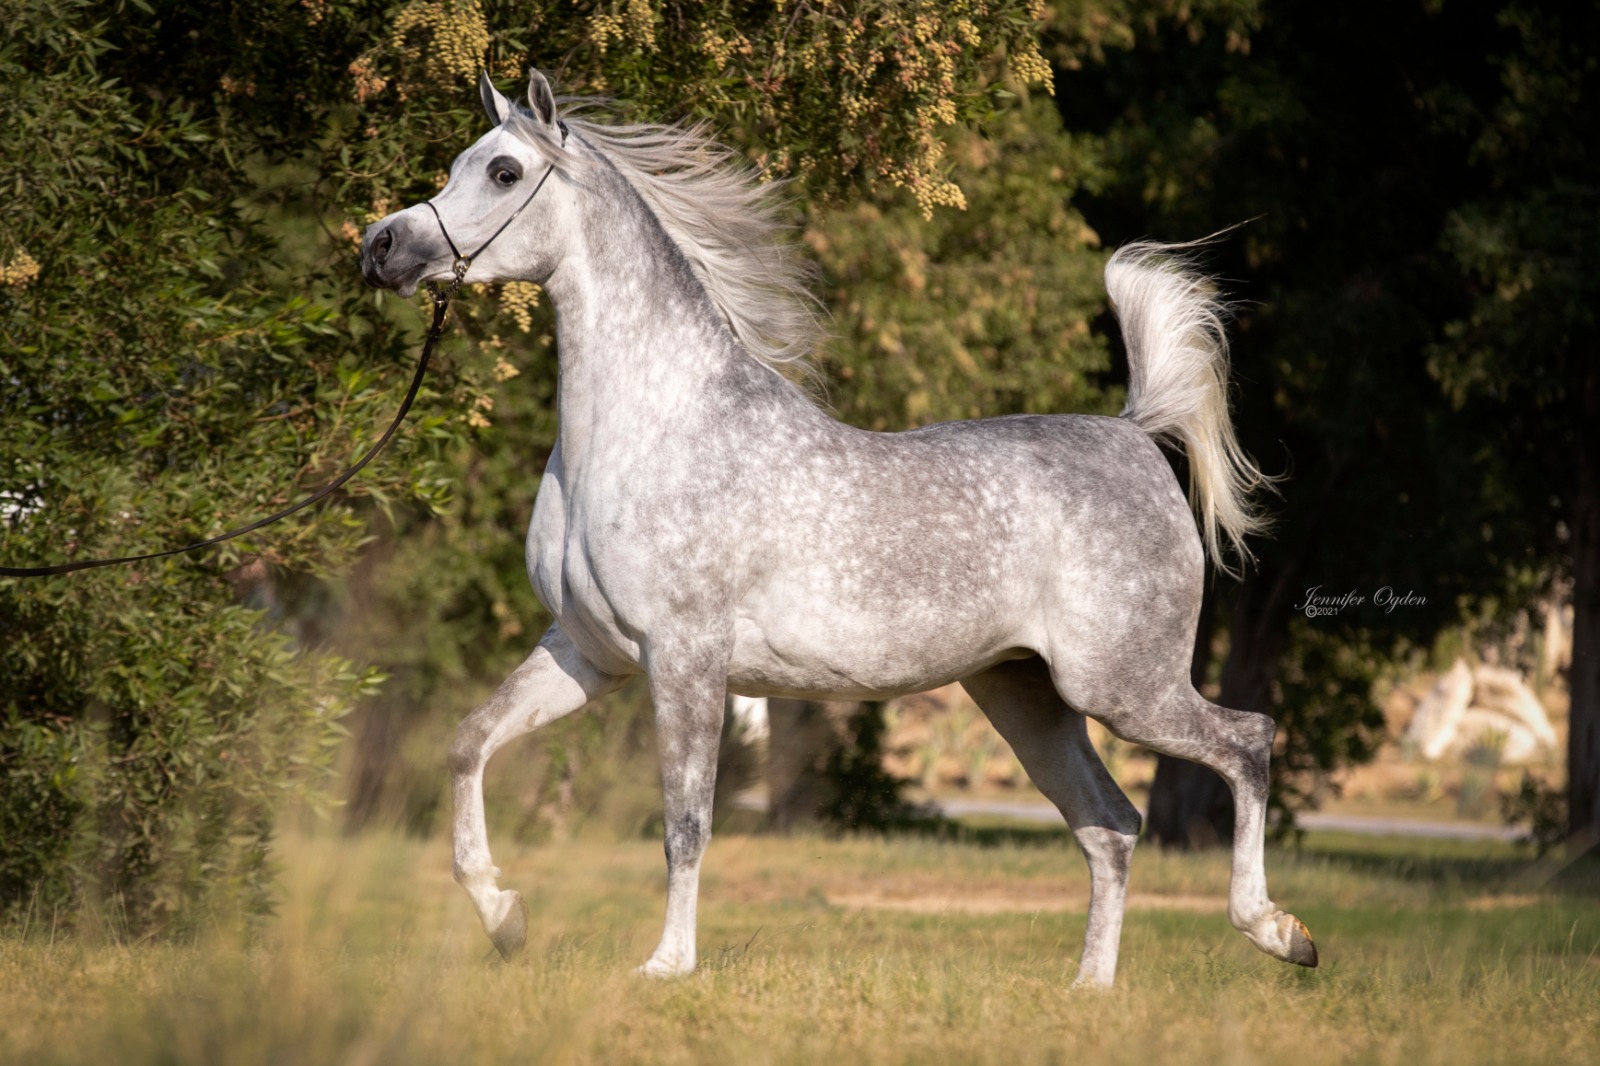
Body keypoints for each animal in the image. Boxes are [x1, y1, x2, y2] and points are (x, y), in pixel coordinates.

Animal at [360, 69, 1316, 988]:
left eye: (503, 171)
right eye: (458, 162)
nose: (383, 247)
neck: (651, 429)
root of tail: (1132, 434)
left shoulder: (686, 660)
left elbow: (685, 822)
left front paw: (667, 967)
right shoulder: (589, 653)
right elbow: (470, 741)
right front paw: (503, 916)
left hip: (1122, 687)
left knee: (1246, 744)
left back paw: (1280, 933)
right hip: (1027, 695)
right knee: (1110, 824)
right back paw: (1091, 988)